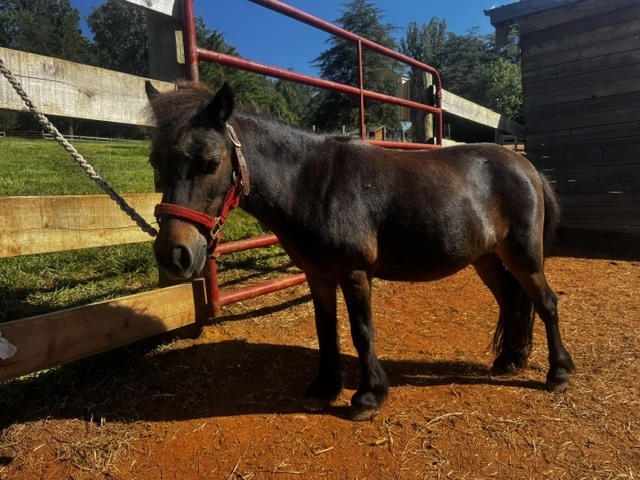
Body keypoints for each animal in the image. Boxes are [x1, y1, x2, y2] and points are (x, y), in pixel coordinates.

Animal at [144, 81, 575, 421]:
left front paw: (368, 396)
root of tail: (526, 166)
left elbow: (361, 330)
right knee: (512, 299)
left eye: (212, 162)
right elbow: (326, 330)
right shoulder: (318, 276)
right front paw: (323, 389)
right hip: (486, 258)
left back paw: (558, 373)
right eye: (155, 161)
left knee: (546, 302)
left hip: (524, 255)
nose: (174, 254)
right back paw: (510, 359)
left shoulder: (354, 274)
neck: (311, 183)